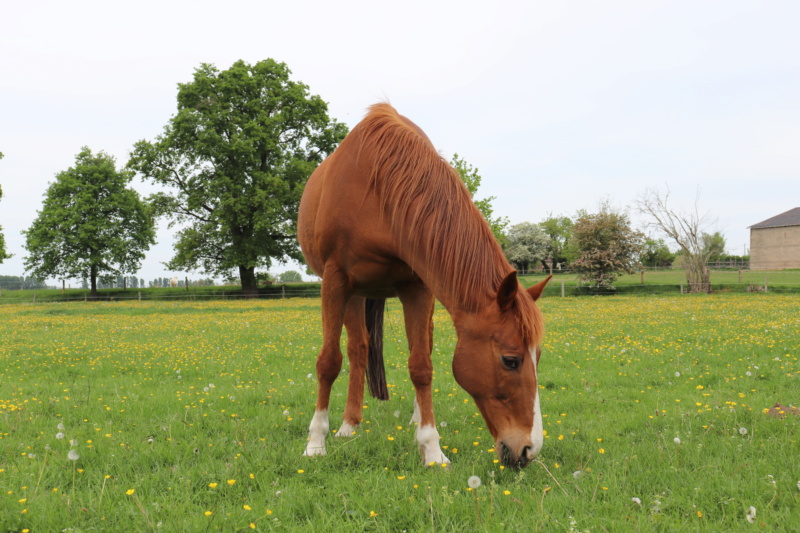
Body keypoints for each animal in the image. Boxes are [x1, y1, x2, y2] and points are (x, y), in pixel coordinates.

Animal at [298, 103, 552, 466]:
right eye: (511, 360)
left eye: (538, 357)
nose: (529, 450)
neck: (378, 190)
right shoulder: (335, 281)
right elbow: (328, 362)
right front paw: (315, 442)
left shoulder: (417, 287)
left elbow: (421, 365)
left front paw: (431, 449)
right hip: (354, 293)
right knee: (358, 349)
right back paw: (348, 424)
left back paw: (415, 416)